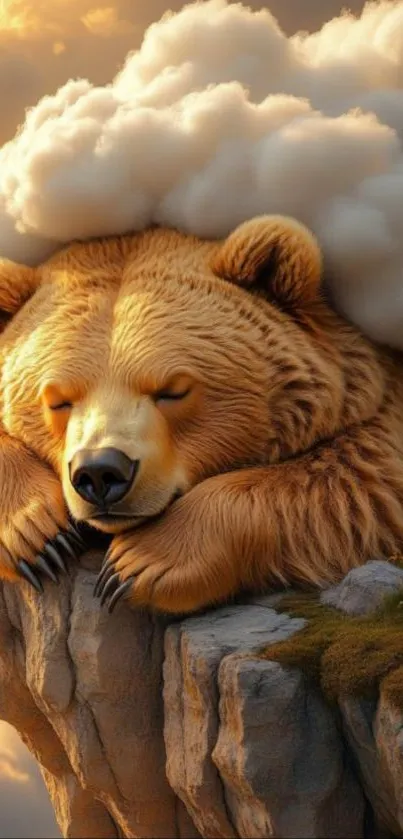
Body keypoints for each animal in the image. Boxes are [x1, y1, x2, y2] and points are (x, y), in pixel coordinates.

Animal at [1, 214, 403, 615]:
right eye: (58, 400)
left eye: (172, 391)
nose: (100, 472)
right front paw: (41, 538)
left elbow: (361, 480)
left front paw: (138, 563)